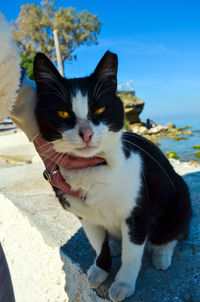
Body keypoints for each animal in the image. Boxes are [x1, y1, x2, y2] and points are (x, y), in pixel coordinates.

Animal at [33, 50, 191, 300]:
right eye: (63, 113)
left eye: (99, 109)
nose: (86, 133)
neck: (94, 169)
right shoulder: (85, 215)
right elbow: (98, 244)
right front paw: (100, 268)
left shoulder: (138, 213)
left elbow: (132, 255)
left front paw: (123, 283)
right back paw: (116, 245)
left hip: (179, 199)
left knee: (176, 232)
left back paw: (161, 254)